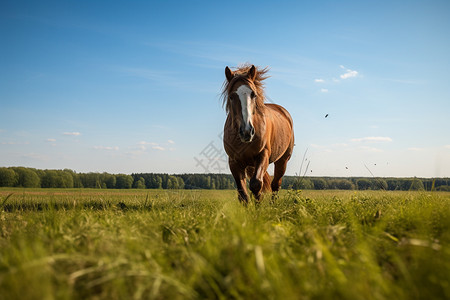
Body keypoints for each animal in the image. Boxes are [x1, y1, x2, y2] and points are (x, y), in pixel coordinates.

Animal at [222, 64, 296, 203]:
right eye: (231, 96)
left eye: (253, 94)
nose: (247, 131)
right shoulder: (234, 162)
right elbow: (243, 193)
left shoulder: (263, 155)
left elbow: (256, 184)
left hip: (282, 160)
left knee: (275, 184)